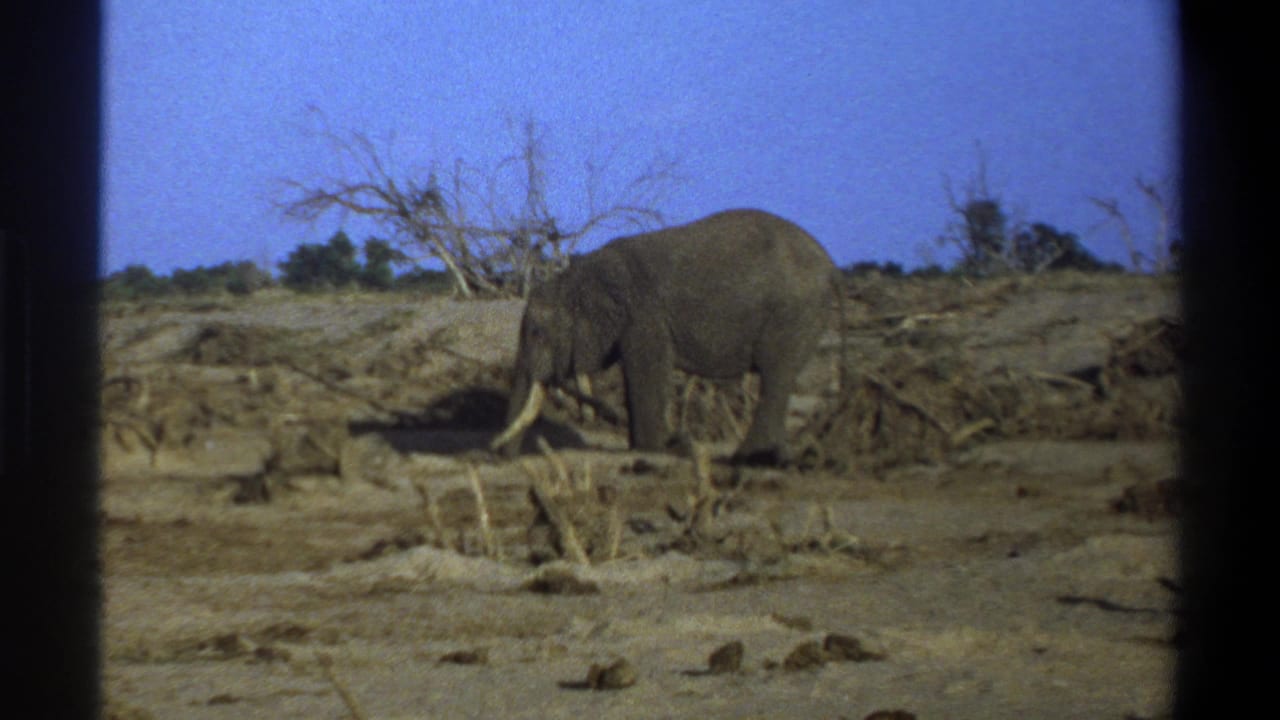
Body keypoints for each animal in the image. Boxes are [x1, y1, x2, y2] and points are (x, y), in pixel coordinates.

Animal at [492, 208, 839, 466]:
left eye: (537, 333)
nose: (500, 457)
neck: (581, 273)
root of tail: (831, 267)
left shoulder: (645, 316)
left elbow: (647, 371)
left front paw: (651, 449)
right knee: (779, 378)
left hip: (792, 312)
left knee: (775, 375)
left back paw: (749, 459)